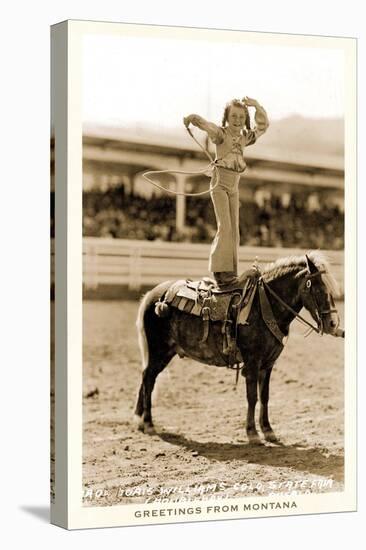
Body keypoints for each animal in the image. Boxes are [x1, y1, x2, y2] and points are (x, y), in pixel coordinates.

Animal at [134, 252, 340, 446]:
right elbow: (252, 397)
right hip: (158, 351)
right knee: (148, 379)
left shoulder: (268, 364)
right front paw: (252, 433)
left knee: (147, 378)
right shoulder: (252, 362)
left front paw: (268, 430)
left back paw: (140, 420)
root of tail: (154, 295)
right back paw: (149, 423)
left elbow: (264, 396)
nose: (333, 324)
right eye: (318, 289)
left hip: (165, 352)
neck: (265, 306)